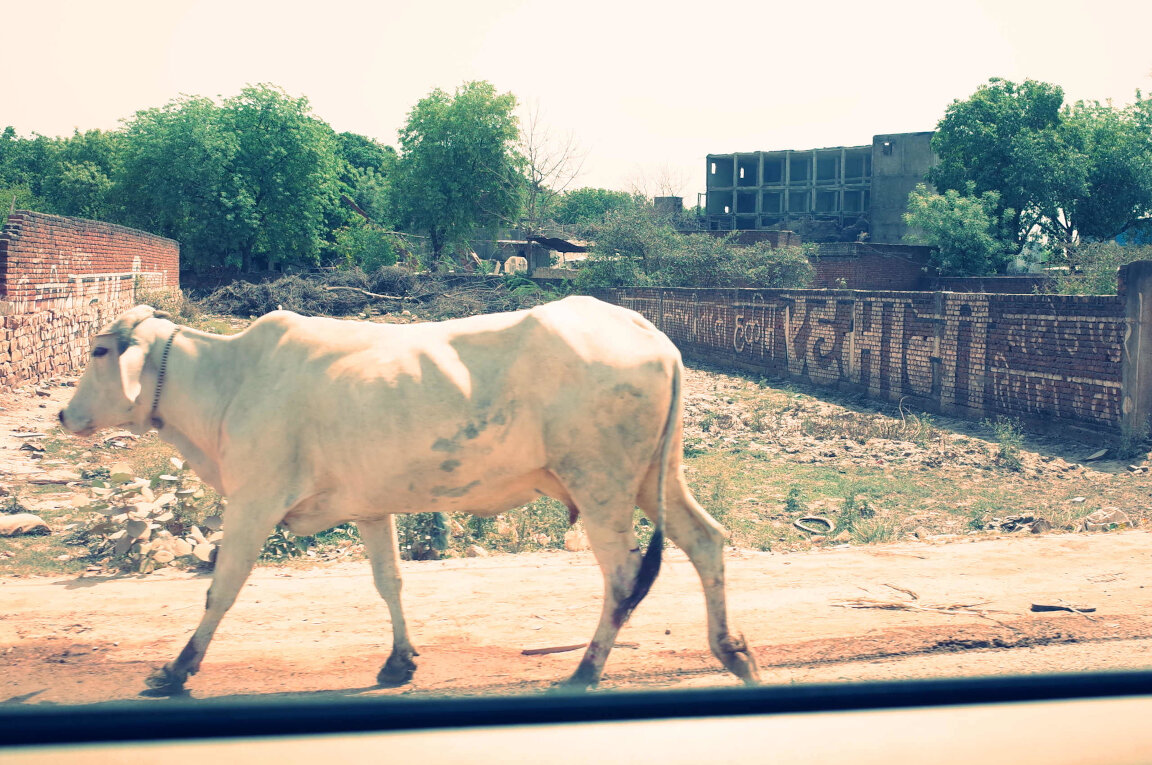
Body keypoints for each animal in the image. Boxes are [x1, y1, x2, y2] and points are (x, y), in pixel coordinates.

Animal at [65, 297, 764, 691]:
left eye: (100, 350)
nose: (66, 416)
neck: (229, 380)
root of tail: (652, 334)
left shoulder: (254, 500)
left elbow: (223, 587)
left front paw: (177, 668)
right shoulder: (371, 508)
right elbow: (390, 583)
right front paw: (399, 661)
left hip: (602, 485)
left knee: (622, 577)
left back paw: (585, 671)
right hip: (654, 478)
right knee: (706, 541)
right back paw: (734, 653)